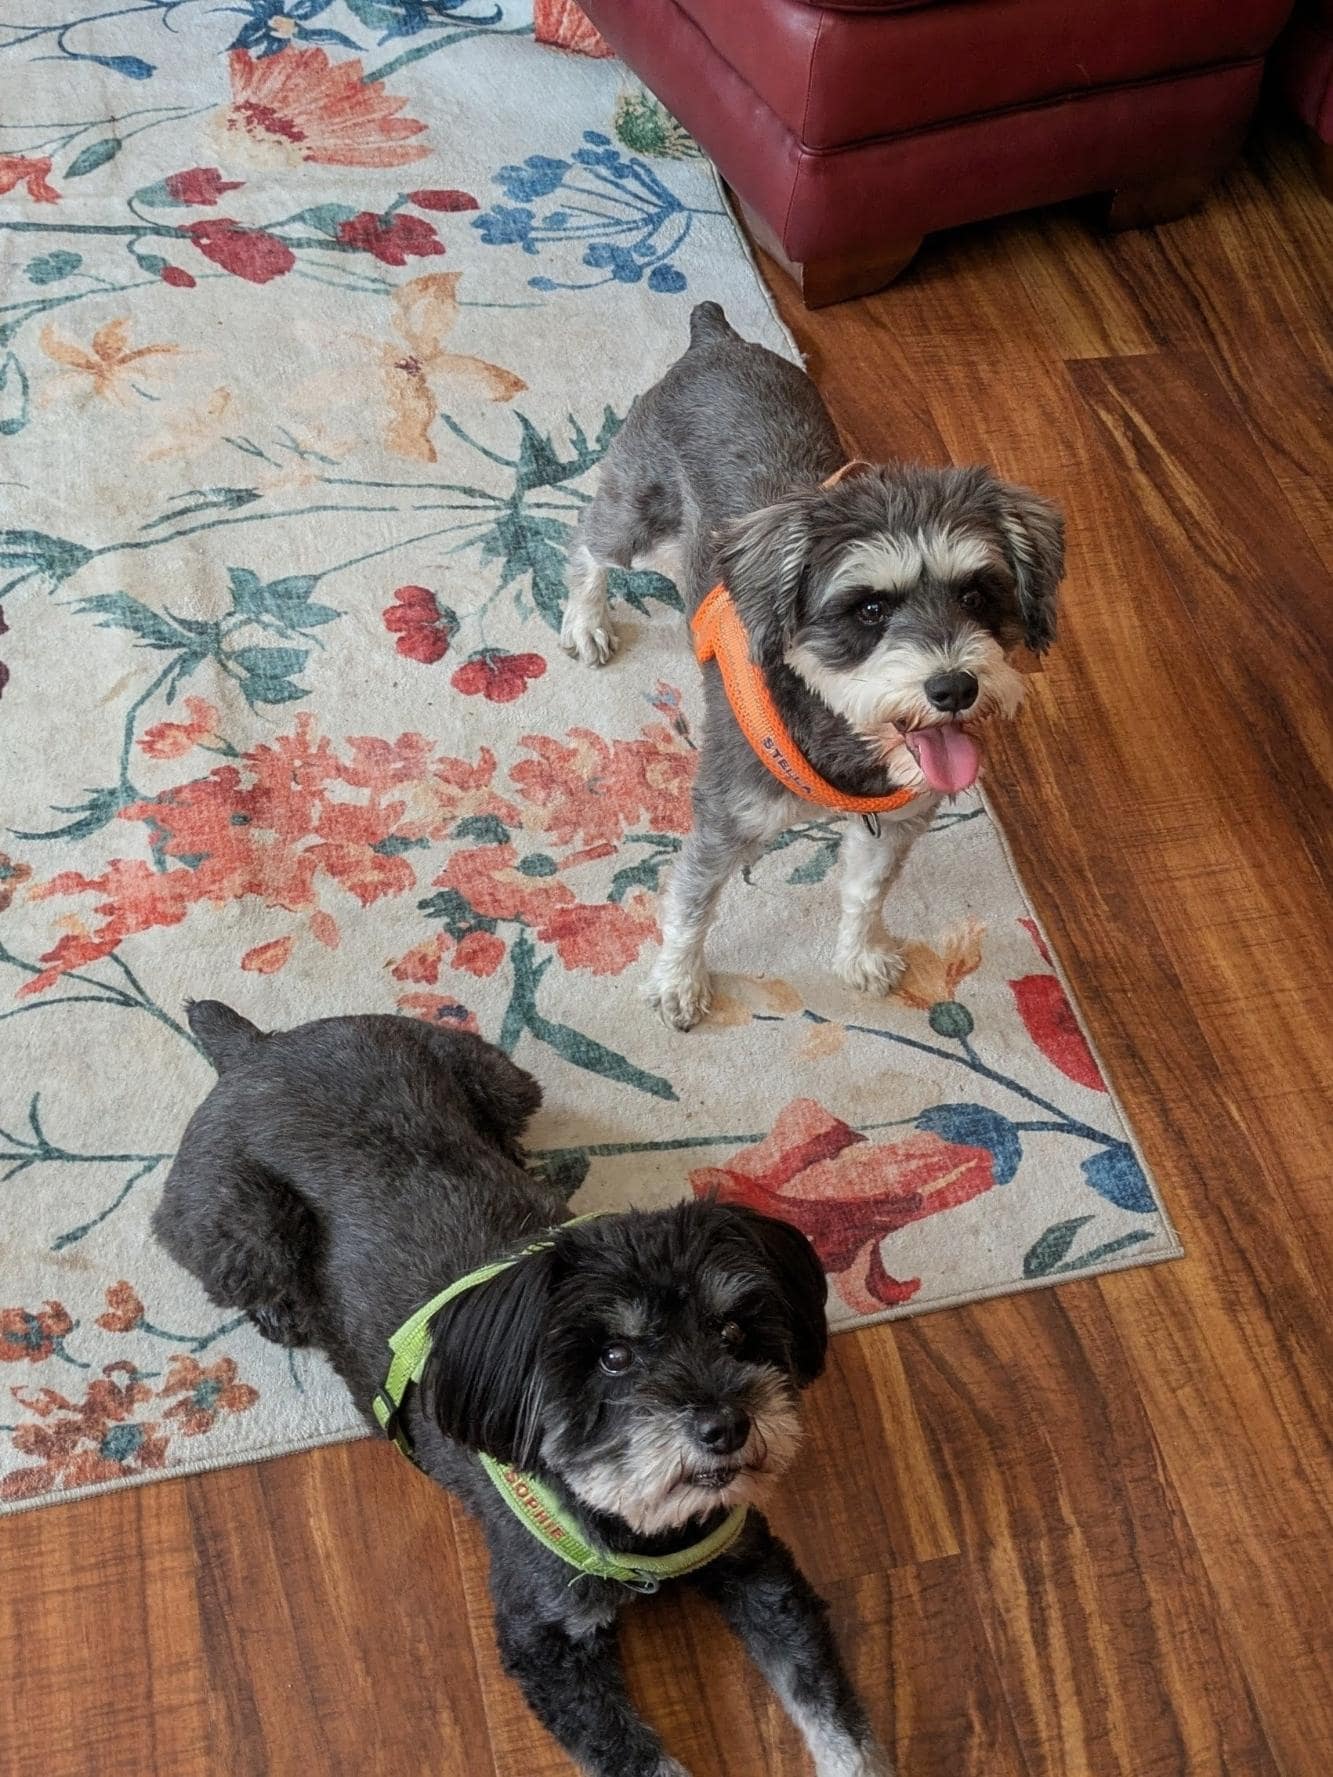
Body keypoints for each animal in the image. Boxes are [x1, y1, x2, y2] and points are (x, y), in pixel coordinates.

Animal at [152, 1003, 892, 1777]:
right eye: (613, 1355)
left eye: (734, 1331)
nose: (725, 1426)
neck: (637, 1527)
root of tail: (257, 1046)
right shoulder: (545, 1641)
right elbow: (640, 1757)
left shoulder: (754, 1566)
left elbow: (831, 1707)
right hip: (241, 1230)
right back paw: (282, 1309)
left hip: (500, 1076)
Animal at [560, 301, 1064, 1030]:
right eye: (868, 609)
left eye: (976, 595)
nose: (953, 688)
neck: (837, 735)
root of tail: (713, 335)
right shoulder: (726, 819)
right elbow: (691, 904)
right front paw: (679, 981)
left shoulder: (895, 825)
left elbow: (866, 893)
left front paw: (861, 954)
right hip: (636, 510)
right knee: (587, 545)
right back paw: (587, 621)